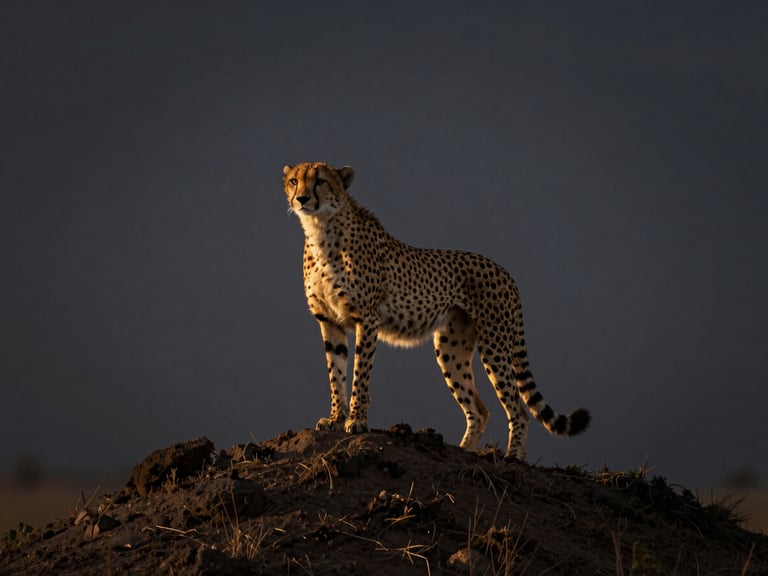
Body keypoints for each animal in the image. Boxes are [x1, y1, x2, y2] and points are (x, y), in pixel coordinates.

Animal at [282, 161, 590, 460]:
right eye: (295, 180)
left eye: (320, 181)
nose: (302, 198)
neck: (321, 228)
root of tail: (504, 270)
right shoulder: (328, 321)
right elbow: (336, 374)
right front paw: (335, 418)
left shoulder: (367, 320)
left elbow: (360, 374)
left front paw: (356, 421)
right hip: (451, 349)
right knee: (479, 410)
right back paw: (465, 451)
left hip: (494, 345)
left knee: (519, 410)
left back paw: (512, 457)